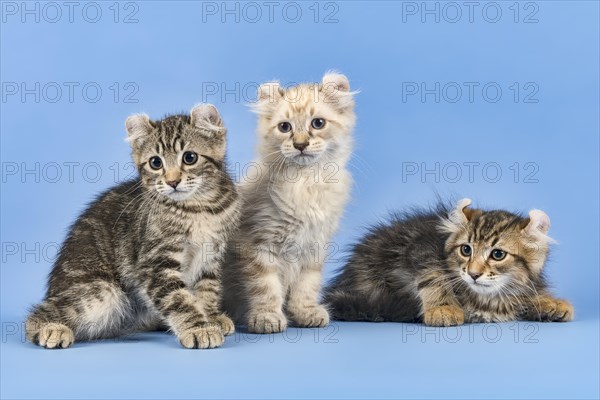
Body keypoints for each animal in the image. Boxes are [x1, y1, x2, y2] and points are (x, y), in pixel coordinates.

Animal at [25, 104, 241, 348]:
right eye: (156, 163)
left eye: (190, 157)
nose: (172, 181)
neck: (198, 206)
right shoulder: (154, 263)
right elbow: (178, 298)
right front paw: (198, 328)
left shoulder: (211, 255)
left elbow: (207, 289)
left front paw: (211, 318)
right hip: (105, 291)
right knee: (41, 312)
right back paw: (51, 329)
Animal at [224, 72, 356, 334]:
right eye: (285, 127)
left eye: (318, 123)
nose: (300, 144)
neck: (306, 183)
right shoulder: (259, 244)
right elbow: (266, 287)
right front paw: (266, 317)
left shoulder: (315, 245)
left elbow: (307, 285)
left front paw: (306, 312)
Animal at [326, 197, 576, 324]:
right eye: (466, 250)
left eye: (497, 254)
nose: (473, 274)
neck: (487, 299)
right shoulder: (420, 249)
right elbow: (433, 276)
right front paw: (443, 309)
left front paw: (549, 302)